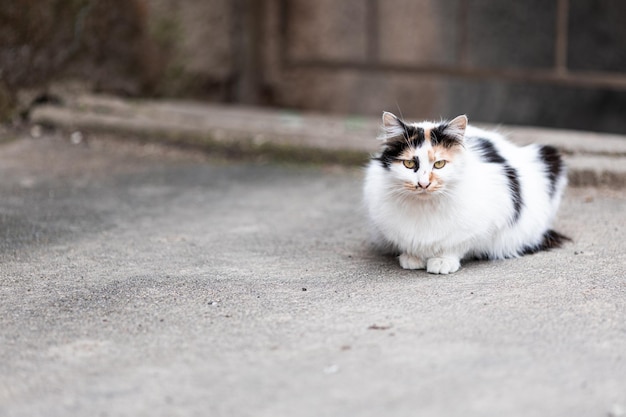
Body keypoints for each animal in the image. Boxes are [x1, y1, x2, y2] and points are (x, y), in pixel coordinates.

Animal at [364, 111, 568, 272]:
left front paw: (442, 261)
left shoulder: (489, 217)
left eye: (439, 164)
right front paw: (412, 257)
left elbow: (456, 244)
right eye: (409, 164)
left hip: (550, 158)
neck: (425, 206)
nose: (423, 184)